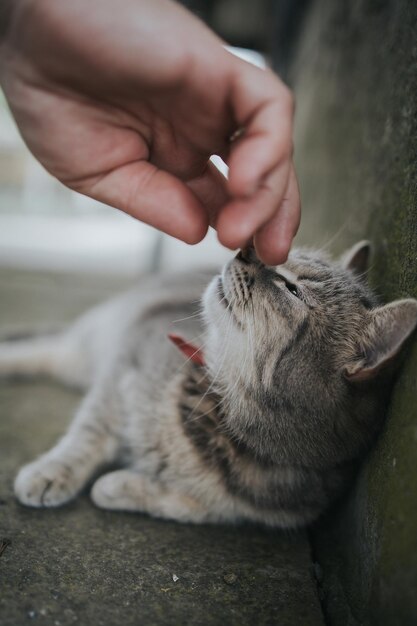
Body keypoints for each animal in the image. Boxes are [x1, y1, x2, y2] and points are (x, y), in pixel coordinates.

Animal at [0, 241, 416, 524]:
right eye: (285, 253)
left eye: (293, 289)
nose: (248, 249)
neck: (219, 419)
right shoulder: (126, 362)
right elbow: (87, 434)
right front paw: (54, 471)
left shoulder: (259, 510)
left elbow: (188, 504)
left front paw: (122, 486)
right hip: (86, 345)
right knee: (40, 349)